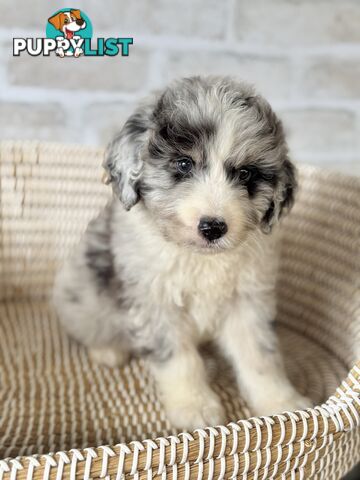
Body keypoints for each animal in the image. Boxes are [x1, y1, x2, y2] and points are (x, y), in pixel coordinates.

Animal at [52, 76, 310, 432]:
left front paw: (281, 402)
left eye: (245, 174)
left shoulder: (247, 301)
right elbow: (179, 359)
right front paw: (194, 405)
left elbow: (260, 355)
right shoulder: (155, 304)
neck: (200, 259)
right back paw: (107, 352)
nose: (213, 227)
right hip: (81, 293)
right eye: (183, 164)